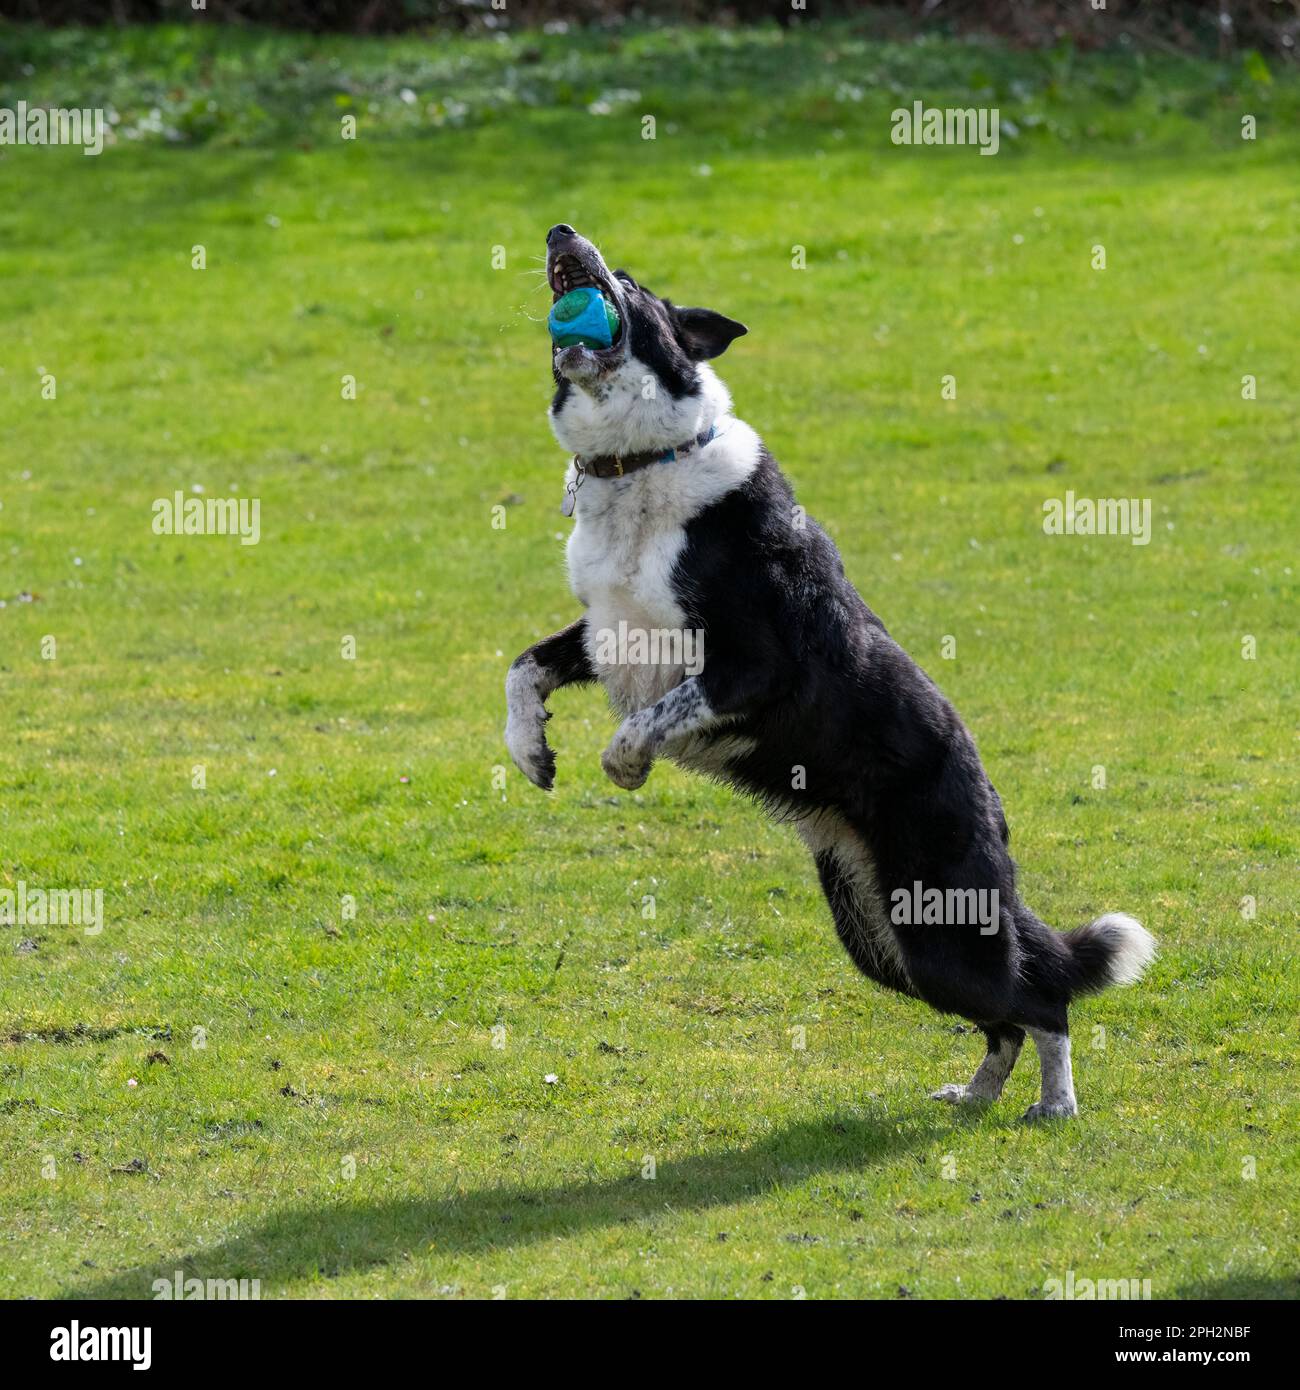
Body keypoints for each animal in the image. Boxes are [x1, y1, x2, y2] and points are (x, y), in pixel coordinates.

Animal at [503, 225, 1151, 1117]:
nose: (560, 233)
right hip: (880, 934)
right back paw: (975, 1095)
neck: (638, 462)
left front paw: (623, 765)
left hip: (938, 918)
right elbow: (523, 668)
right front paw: (530, 752)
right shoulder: (604, 632)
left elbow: (647, 720)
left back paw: (1055, 1105)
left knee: (1041, 998)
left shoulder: (753, 664)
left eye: (628, 282)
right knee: (1004, 1018)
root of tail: (989, 795)